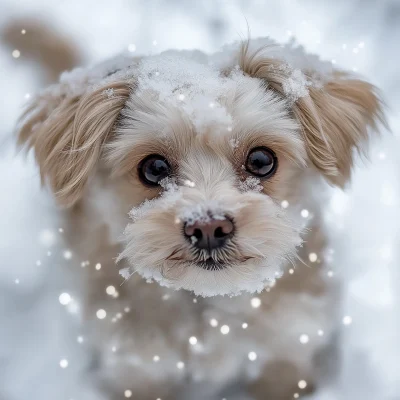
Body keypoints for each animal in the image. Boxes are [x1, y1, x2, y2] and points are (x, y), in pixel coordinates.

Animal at [14, 36, 384, 398]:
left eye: (261, 160)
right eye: (154, 168)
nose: (208, 227)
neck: (209, 299)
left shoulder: (289, 341)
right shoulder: (137, 365)